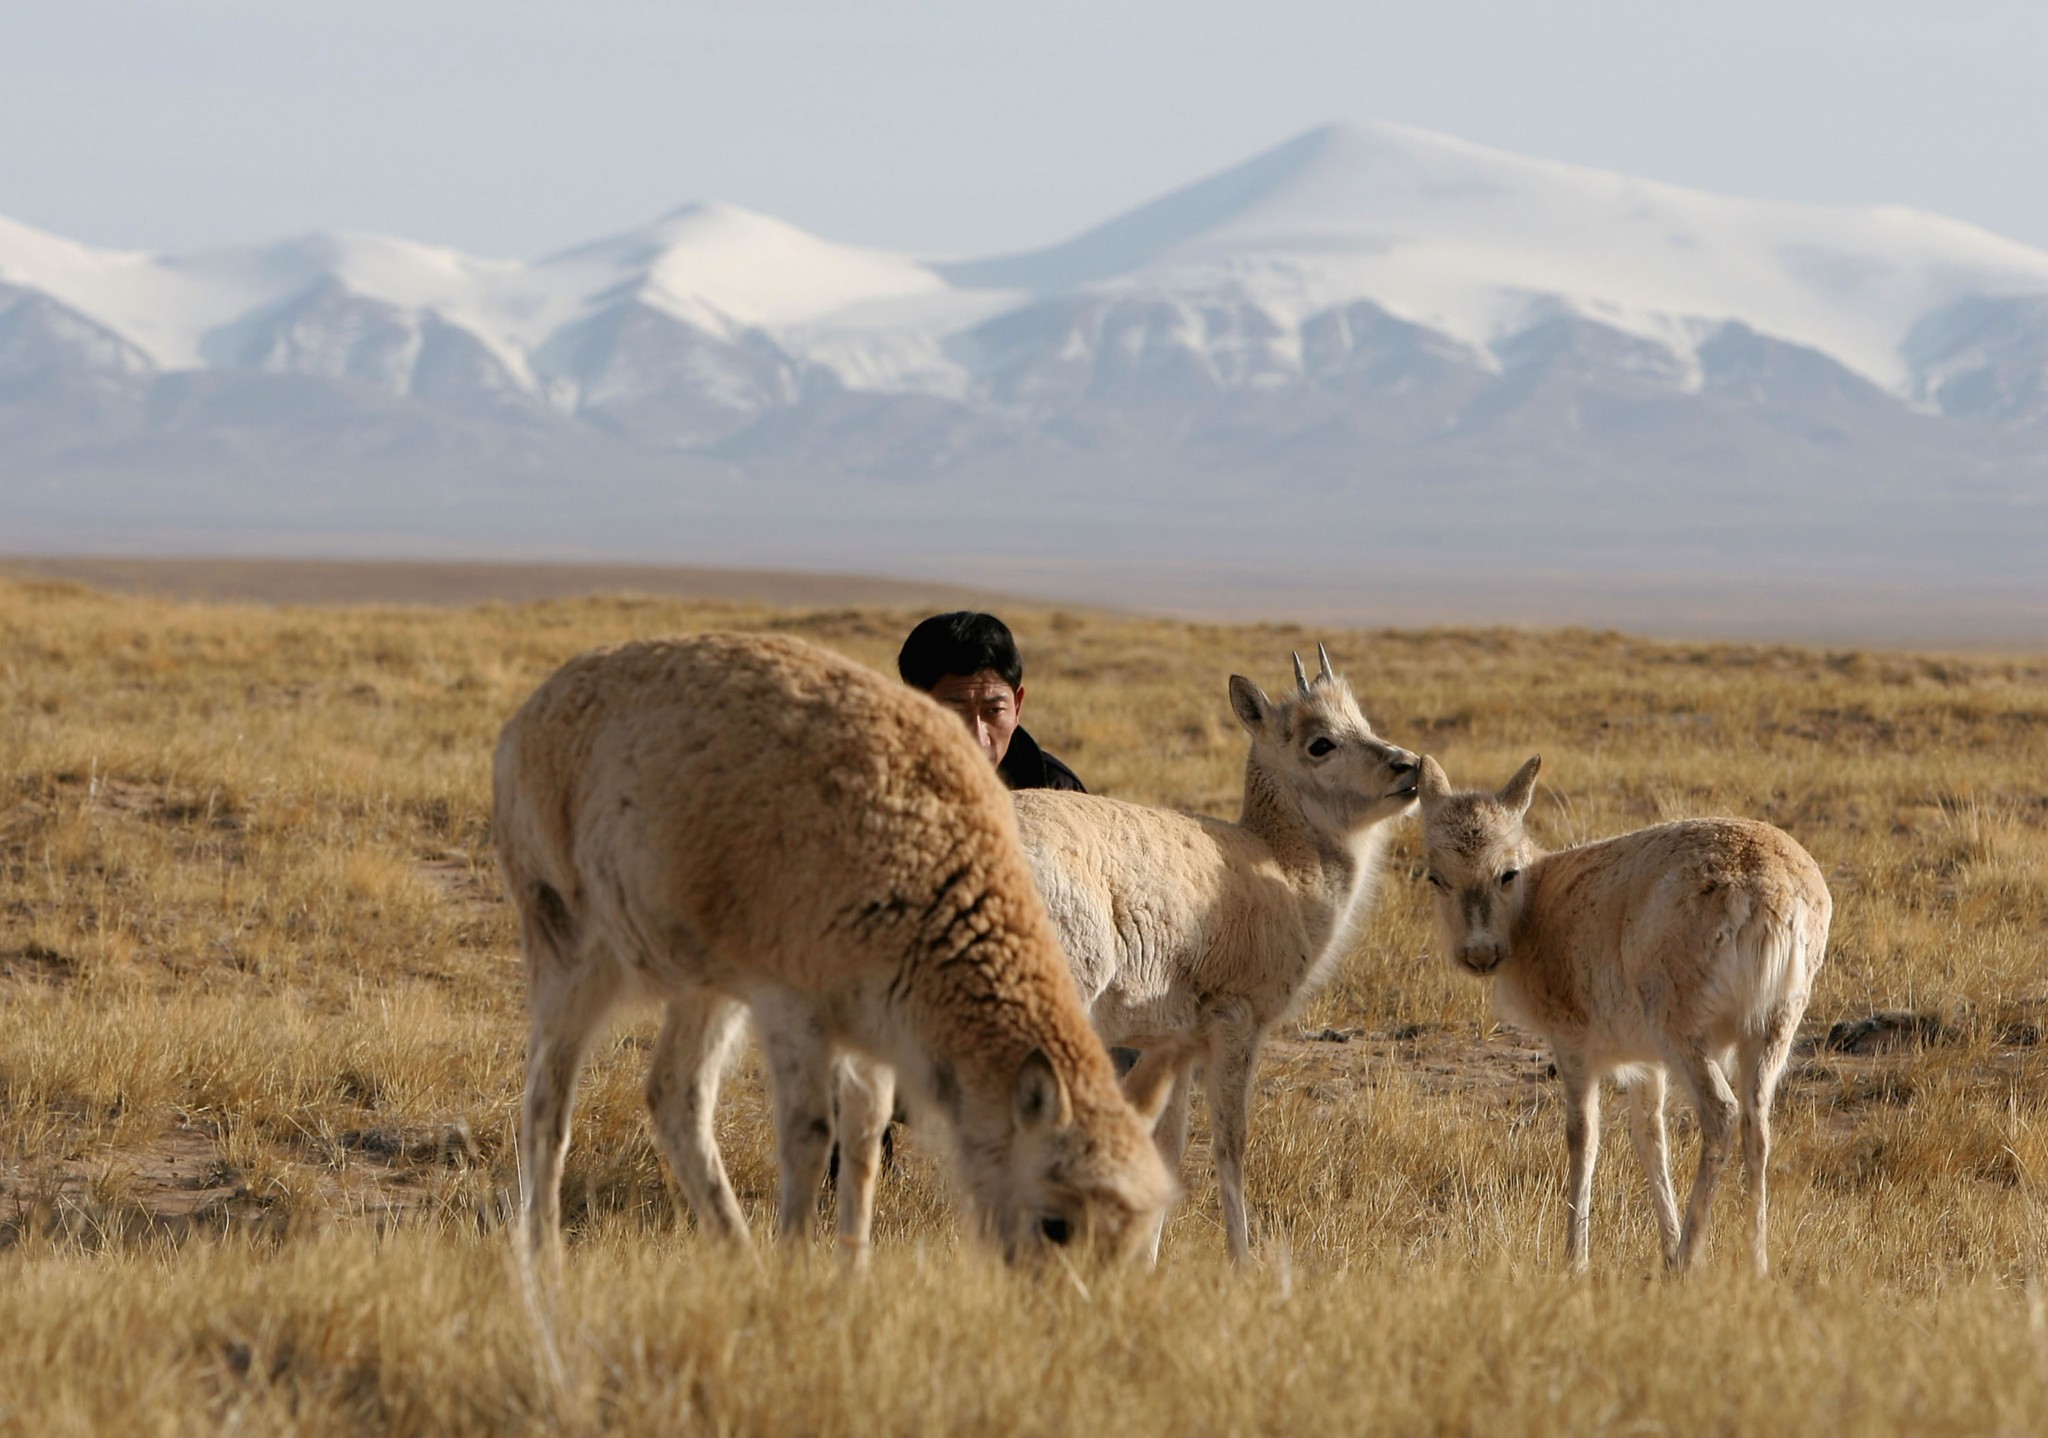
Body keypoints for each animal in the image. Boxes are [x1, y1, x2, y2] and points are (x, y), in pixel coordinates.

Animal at [485, 635, 1179, 1278]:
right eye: (1056, 1224)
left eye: (1137, 1236)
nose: (1065, 1311)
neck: (927, 864)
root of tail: (526, 716)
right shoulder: (792, 1005)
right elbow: (810, 1136)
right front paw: (798, 1275)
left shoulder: (870, 1028)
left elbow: (864, 1142)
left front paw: (850, 1276)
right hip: (570, 951)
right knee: (546, 1103)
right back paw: (544, 1259)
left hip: (706, 985)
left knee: (674, 1095)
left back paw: (739, 1255)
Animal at [1417, 753, 1835, 1270]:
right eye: (1435, 876)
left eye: (1507, 872)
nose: (1479, 954)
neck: (1536, 910)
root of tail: (1772, 893)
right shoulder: (1646, 1063)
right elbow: (1650, 1136)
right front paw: (1663, 1245)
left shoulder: (1573, 1043)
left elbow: (1583, 1135)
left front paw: (1575, 1259)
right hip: (1772, 1026)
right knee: (1756, 1122)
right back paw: (1753, 1263)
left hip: (1679, 1028)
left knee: (1721, 1111)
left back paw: (1690, 1259)